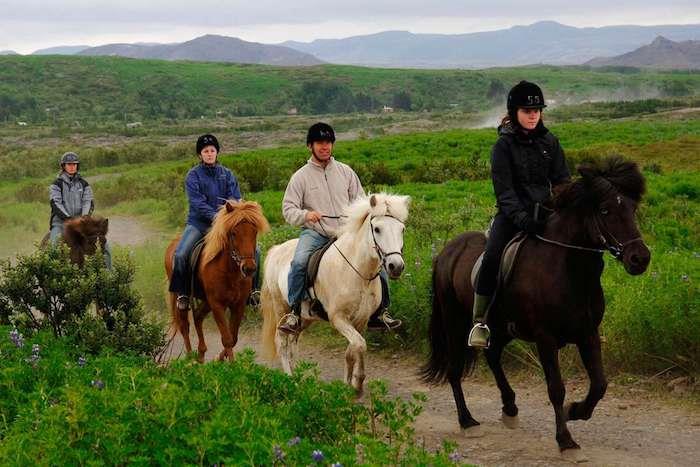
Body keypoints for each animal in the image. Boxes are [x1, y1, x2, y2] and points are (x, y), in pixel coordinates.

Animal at [260, 194, 408, 394]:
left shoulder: (361, 320)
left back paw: (301, 376)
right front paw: (358, 383)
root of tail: (276, 250)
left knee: (293, 341)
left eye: (402, 229)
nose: (396, 266)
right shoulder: (338, 318)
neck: (357, 272)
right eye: (377, 229)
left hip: (304, 318)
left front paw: (349, 384)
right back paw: (291, 379)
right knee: (282, 343)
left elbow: (352, 350)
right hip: (281, 309)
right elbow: (360, 345)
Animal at [418, 158, 652, 454]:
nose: (640, 258)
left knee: (493, 357)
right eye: (605, 210)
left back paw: (510, 408)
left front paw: (574, 411)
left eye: (632, 208)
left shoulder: (587, 332)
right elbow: (556, 388)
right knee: (455, 369)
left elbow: (600, 384)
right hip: (454, 322)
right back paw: (468, 421)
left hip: (501, 327)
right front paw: (565, 440)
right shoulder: (545, 338)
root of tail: (447, 251)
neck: (569, 270)